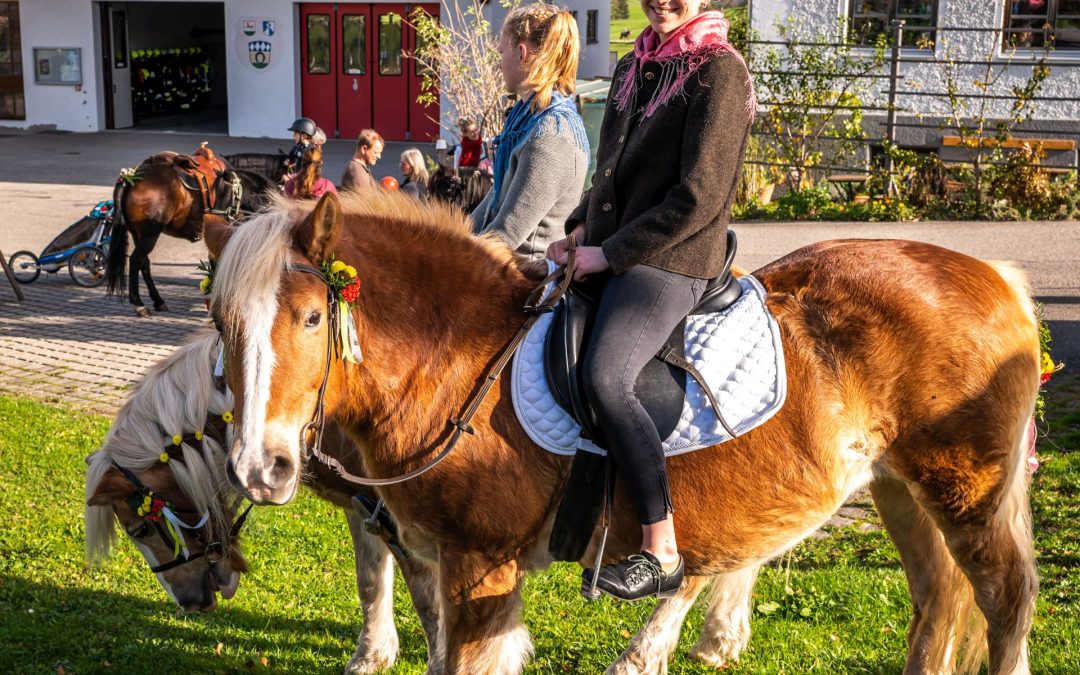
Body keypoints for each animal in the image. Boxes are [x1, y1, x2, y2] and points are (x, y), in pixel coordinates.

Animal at [82, 324, 440, 669]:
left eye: (140, 529)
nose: (188, 603)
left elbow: (429, 603)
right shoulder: (360, 505)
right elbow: (370, 580)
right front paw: (372, 655)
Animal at [104, 144, 274, 315]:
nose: (213, 218)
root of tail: (129, 178)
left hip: (137, 234)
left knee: (144, 263)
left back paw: (158, 301)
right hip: (149, 235)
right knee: (135, 260)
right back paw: (139, 303)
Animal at [208, 187, 1036, 673]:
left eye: (311, 318)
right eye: (221, 321)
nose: (259, 467)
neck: (455, 355)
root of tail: (996, 275)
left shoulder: (479, 564)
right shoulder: (435, 554)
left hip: (965, 493)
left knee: (1005, 598)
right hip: (898, 487)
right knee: (936, 599)